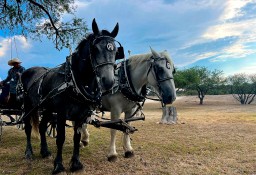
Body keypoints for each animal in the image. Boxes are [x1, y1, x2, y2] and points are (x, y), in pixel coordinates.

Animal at [19, 18, 121, 174]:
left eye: (115, 51)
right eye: (95, 49)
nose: (108, 81)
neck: (74, 80)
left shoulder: (81, 114)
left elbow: (76, 137)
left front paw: (76, 163)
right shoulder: (61, 113)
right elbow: (60, 138)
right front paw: (58, 165)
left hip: (47, 108)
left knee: (42, 127)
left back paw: (44, 151)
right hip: (29, 106)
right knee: (28, 127)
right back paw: (29, 152)